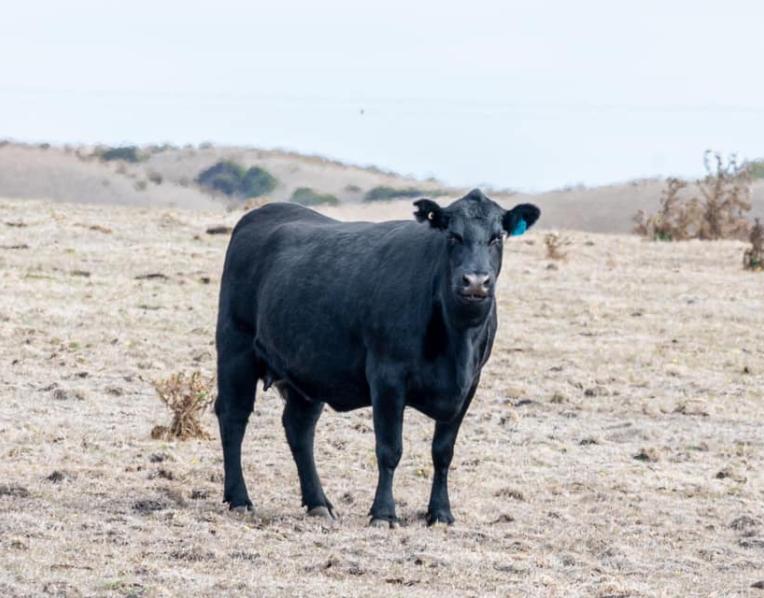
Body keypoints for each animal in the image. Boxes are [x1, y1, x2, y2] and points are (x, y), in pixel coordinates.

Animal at [214, 188, 540, 527]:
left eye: (497, 237)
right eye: (452, 235)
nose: (476, 281)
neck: (457, 339)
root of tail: (262, 212)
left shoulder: (469, 384)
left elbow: (443, 452)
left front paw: (441, 512)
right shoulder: (387, 376)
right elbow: (389, 449)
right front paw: (383, 512)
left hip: (308, 370)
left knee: (299, 429)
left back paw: (318, 502)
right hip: (236, 348)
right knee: (234, 417)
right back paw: (239, 498)